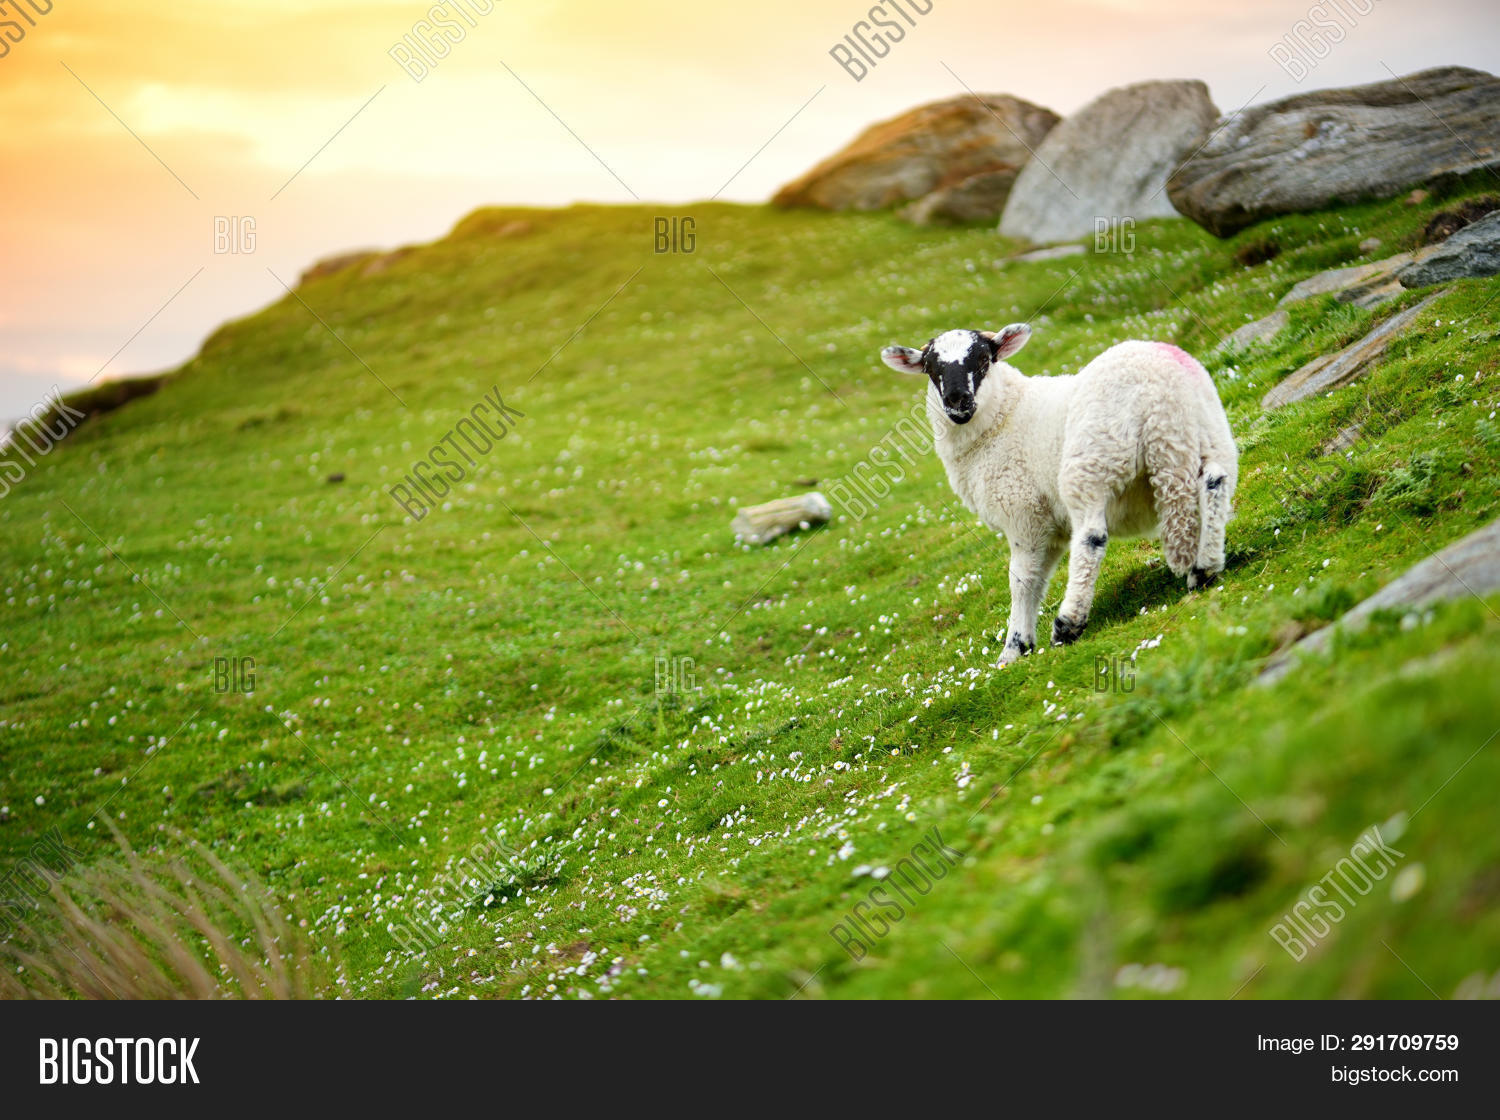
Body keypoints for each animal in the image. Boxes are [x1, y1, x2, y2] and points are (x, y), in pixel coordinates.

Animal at [880, 324, 1237, 665]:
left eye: (983, 359)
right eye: (931, 368)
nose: (957, 400)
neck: (1003, 417)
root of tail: (1162, 390)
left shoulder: (1023, 512)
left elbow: (1021, 580)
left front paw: (1013, 649)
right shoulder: (1049, 526)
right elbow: (1037, 580)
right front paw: (1023, 642)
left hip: (1092, 462)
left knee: (1092, 537)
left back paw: (1069, 623)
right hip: (1209, 436)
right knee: (1215, 484)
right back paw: (1205, 568)